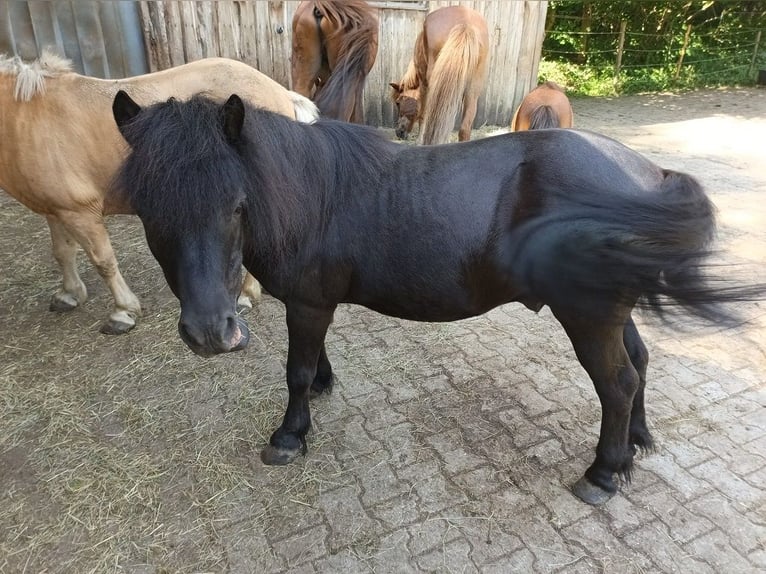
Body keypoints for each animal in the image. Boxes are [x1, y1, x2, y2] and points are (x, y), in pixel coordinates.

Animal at [0, 53, 318, 338]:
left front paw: (123, 312)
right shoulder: (55, 210)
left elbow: (103, 261)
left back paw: (247, 294)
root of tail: (279, 91)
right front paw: (69, 294)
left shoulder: (80, 212)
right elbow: (62, 252)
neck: (27, 116)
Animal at [390, 5, 492, 145]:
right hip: (473, 89)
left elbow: (423, 114)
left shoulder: (423, 83)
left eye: (398, 103)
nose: (399, 132)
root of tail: (465, 23)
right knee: (464, 128)